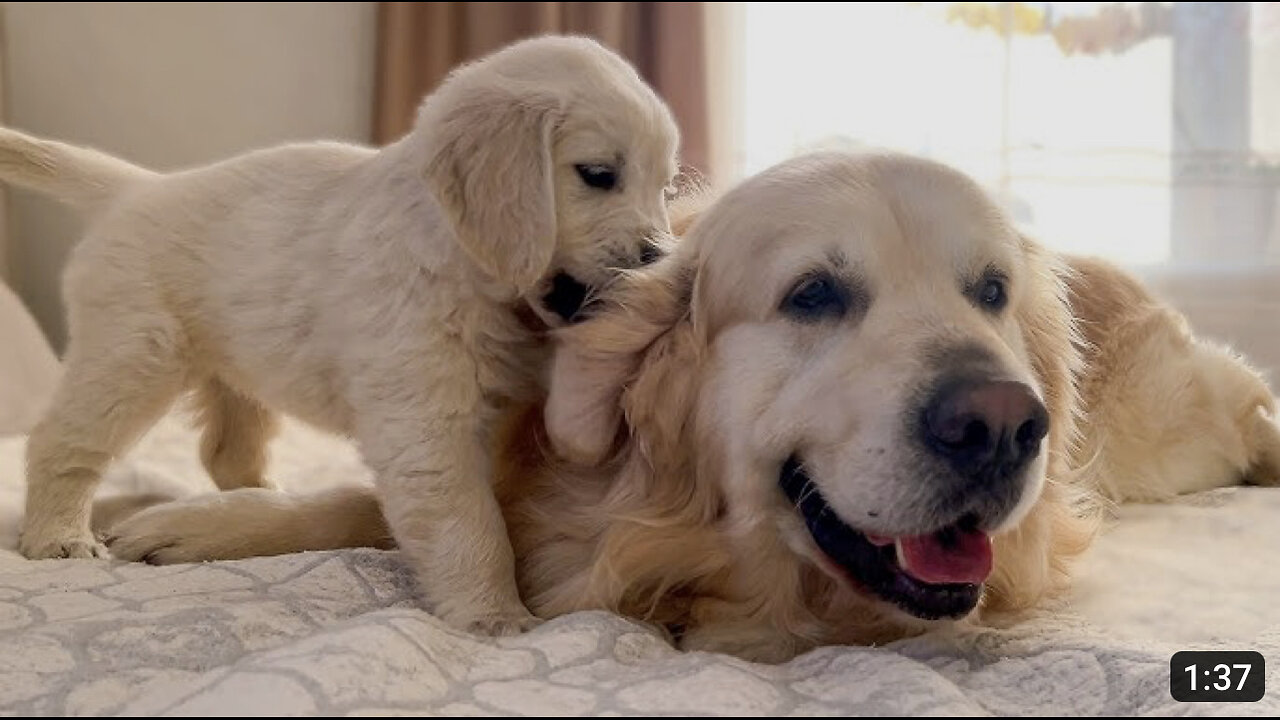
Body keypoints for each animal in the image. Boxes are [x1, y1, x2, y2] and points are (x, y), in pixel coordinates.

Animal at [5, 37, 680, 632]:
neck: (459, 257)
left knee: (225, 451)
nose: (660, 258)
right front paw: (495, 616)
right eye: (598, 174)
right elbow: (471, 523)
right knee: (61, 442)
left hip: (236, 370)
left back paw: (244, 505)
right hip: (134, 353)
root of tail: (137, 186)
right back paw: (58, 535)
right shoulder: (426, 423)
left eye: (666, 187)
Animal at [102, 152, 1280, 661]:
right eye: (813, 295)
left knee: (1246, 403)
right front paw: (180, 517)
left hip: (1175, 428)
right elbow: (374, 502)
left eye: (988, 291)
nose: (1002, 423)